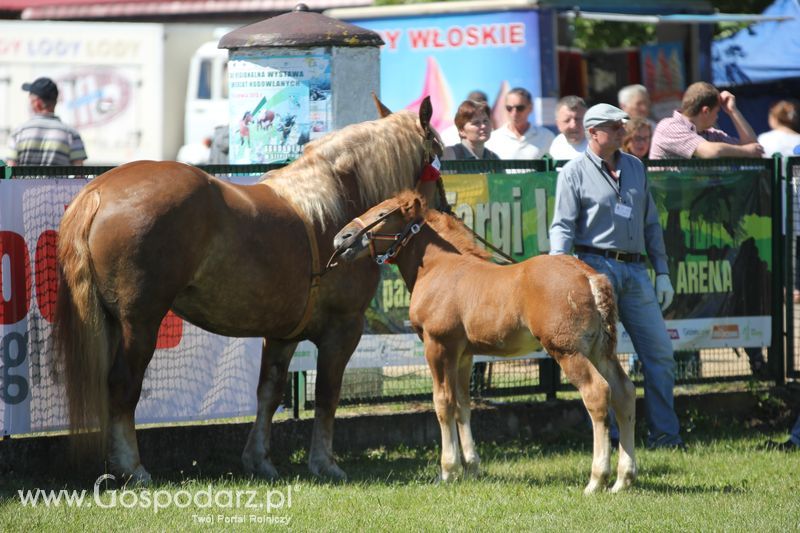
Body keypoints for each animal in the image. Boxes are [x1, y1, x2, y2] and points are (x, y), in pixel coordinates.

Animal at [332, 191, 636, 494]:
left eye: (383, 214)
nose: (341, 239)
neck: (437, 267)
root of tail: (590, 276)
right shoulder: (464, 355)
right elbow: (463, 405)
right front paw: (471, 468)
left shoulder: (438, 345)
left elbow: (443, 402)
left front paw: (448, 470)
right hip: (600, 351)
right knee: (624, 393)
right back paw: (623, 479)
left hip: (567, 351)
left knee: (597, 393)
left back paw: (596, 480)